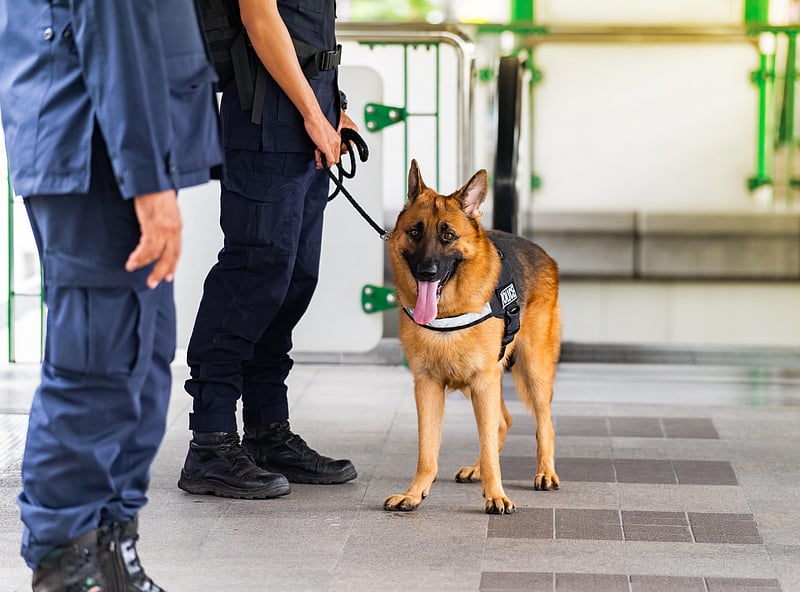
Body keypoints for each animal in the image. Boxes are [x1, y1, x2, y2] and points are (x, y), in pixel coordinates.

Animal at [382, 161, 560, 512]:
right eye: (415, 232)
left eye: (448, 235)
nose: (426, 272)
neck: (448, 312)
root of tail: (543, 252)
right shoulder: (428, 386)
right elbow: (427, 451)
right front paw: (415, 493)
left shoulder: (483, 381)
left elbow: (490, 447)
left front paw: (497, 495)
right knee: (503, 421)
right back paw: (477, 469)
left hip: (532, 370)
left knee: (543, 423)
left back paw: (545, 472)